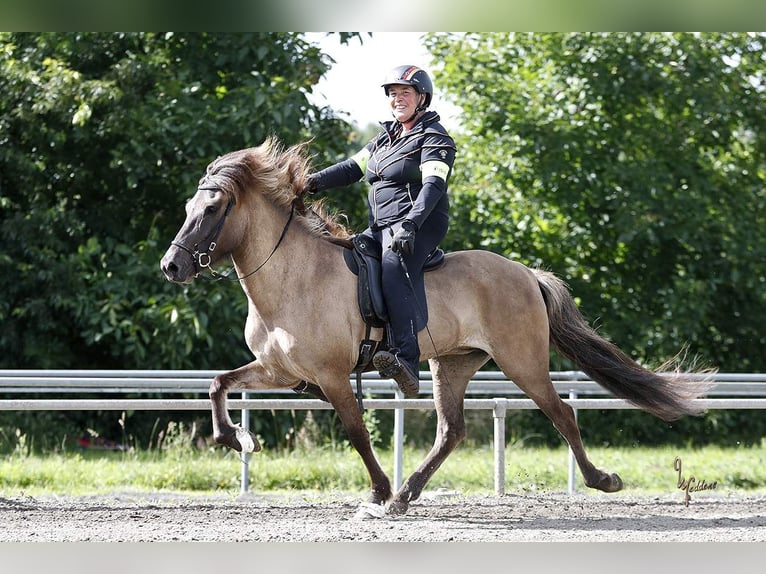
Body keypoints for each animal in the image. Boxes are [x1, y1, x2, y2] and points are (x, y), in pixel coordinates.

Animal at [160, 136, 712, 516]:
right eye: (187, 208)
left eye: (212, 208)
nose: (172, 266)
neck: (293, 276)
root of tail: (525, 273)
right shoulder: (281, 372)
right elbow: (218, 384)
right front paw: (237, 439)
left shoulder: (333, 377)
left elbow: (357, 432)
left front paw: (377, 490)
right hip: (454, 364)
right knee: (452, 430)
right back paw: (408, 494)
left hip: (523, 361)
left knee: (562, 415)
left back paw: (601, 480)